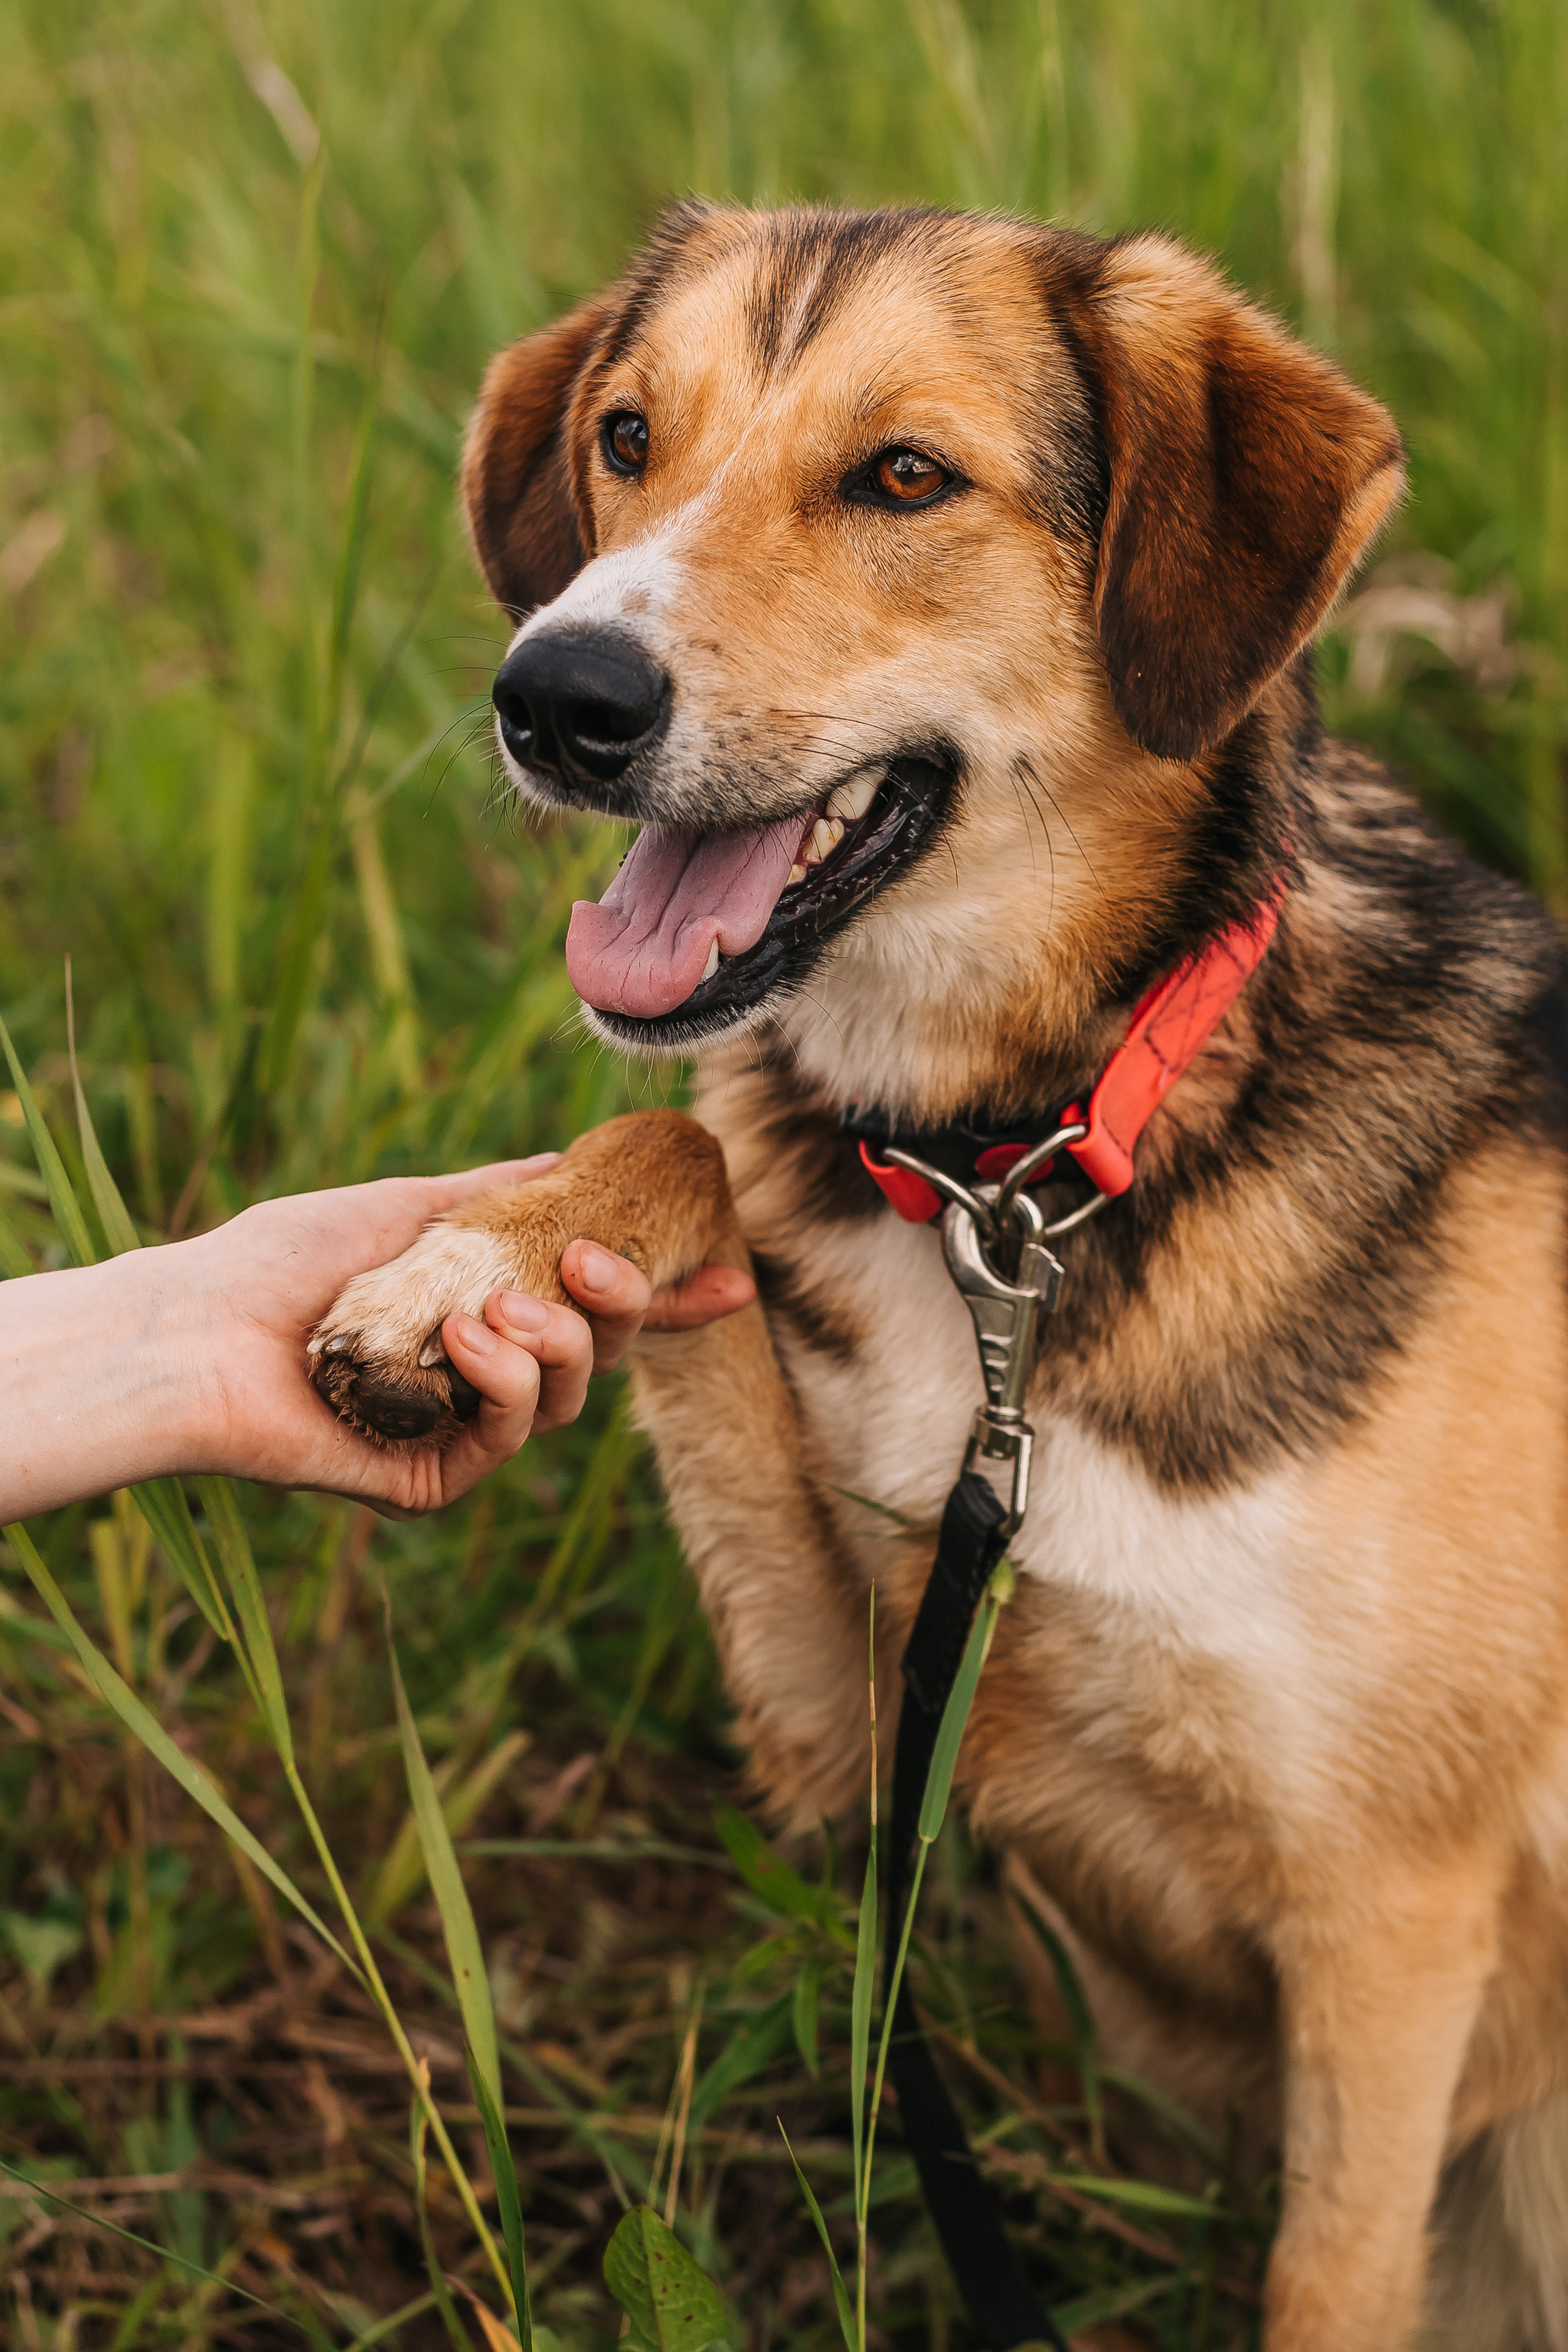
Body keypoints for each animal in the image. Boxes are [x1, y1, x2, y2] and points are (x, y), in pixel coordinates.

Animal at [310, 203, 1568, 2350]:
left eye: (903, 477)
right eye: (626, 436)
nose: (554, 694)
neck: (1019, 1173)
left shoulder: (1393, 1914)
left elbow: (1325, 2278)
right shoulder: (849, 1717)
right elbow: (687, 1142)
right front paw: (467, 1268)